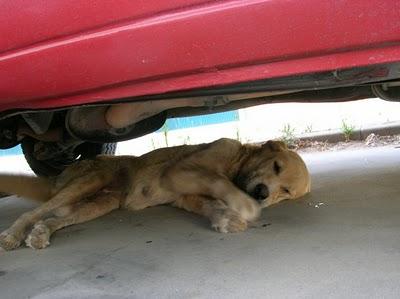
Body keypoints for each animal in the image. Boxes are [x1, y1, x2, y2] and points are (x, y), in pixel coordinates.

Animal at [0, 138, 310, 251]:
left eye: (285, 192)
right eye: (276, 166)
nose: (262, 193)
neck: (237, 163)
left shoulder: (185, 196)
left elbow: (209, 203)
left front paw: (224, 217)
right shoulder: (178, 170)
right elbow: (217, 180)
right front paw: (241, 204)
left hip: (101, 202)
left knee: (53, 218)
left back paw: (40, 233)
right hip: (91, 179)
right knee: (33, 212)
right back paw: (13, 235)